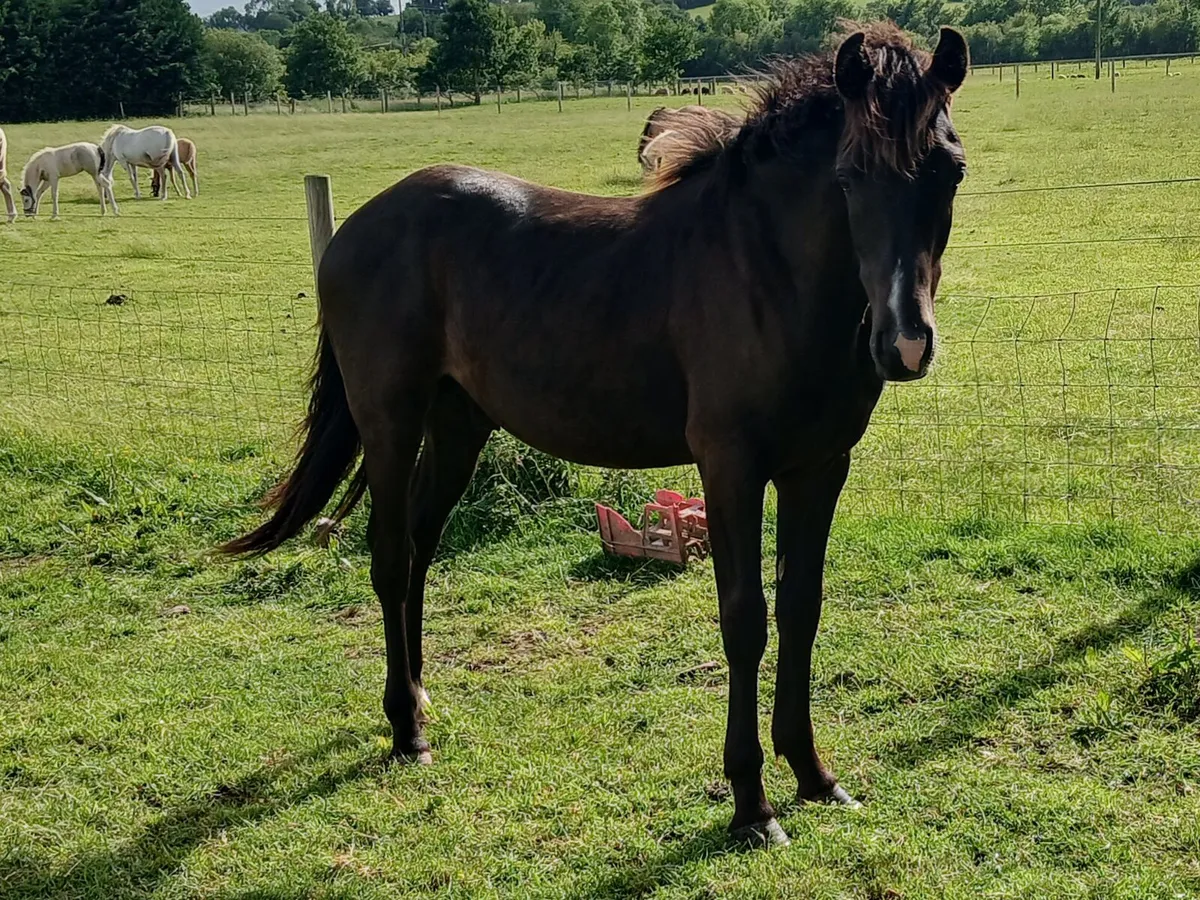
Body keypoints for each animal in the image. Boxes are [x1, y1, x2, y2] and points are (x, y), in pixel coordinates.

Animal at [224, 24, 970, 848]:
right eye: (849, 175)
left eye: (951, 169)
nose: (905, 344)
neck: (768, 276)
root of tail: (358, 227)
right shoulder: (731, 467)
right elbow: (746, 620)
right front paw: (752, 805)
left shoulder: (820, 467)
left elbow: (801, 610)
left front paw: (815, 775)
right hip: (390, 419)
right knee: (390, 557)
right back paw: (405, 732)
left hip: (458, 423)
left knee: (420, 544)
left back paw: (419, 700)